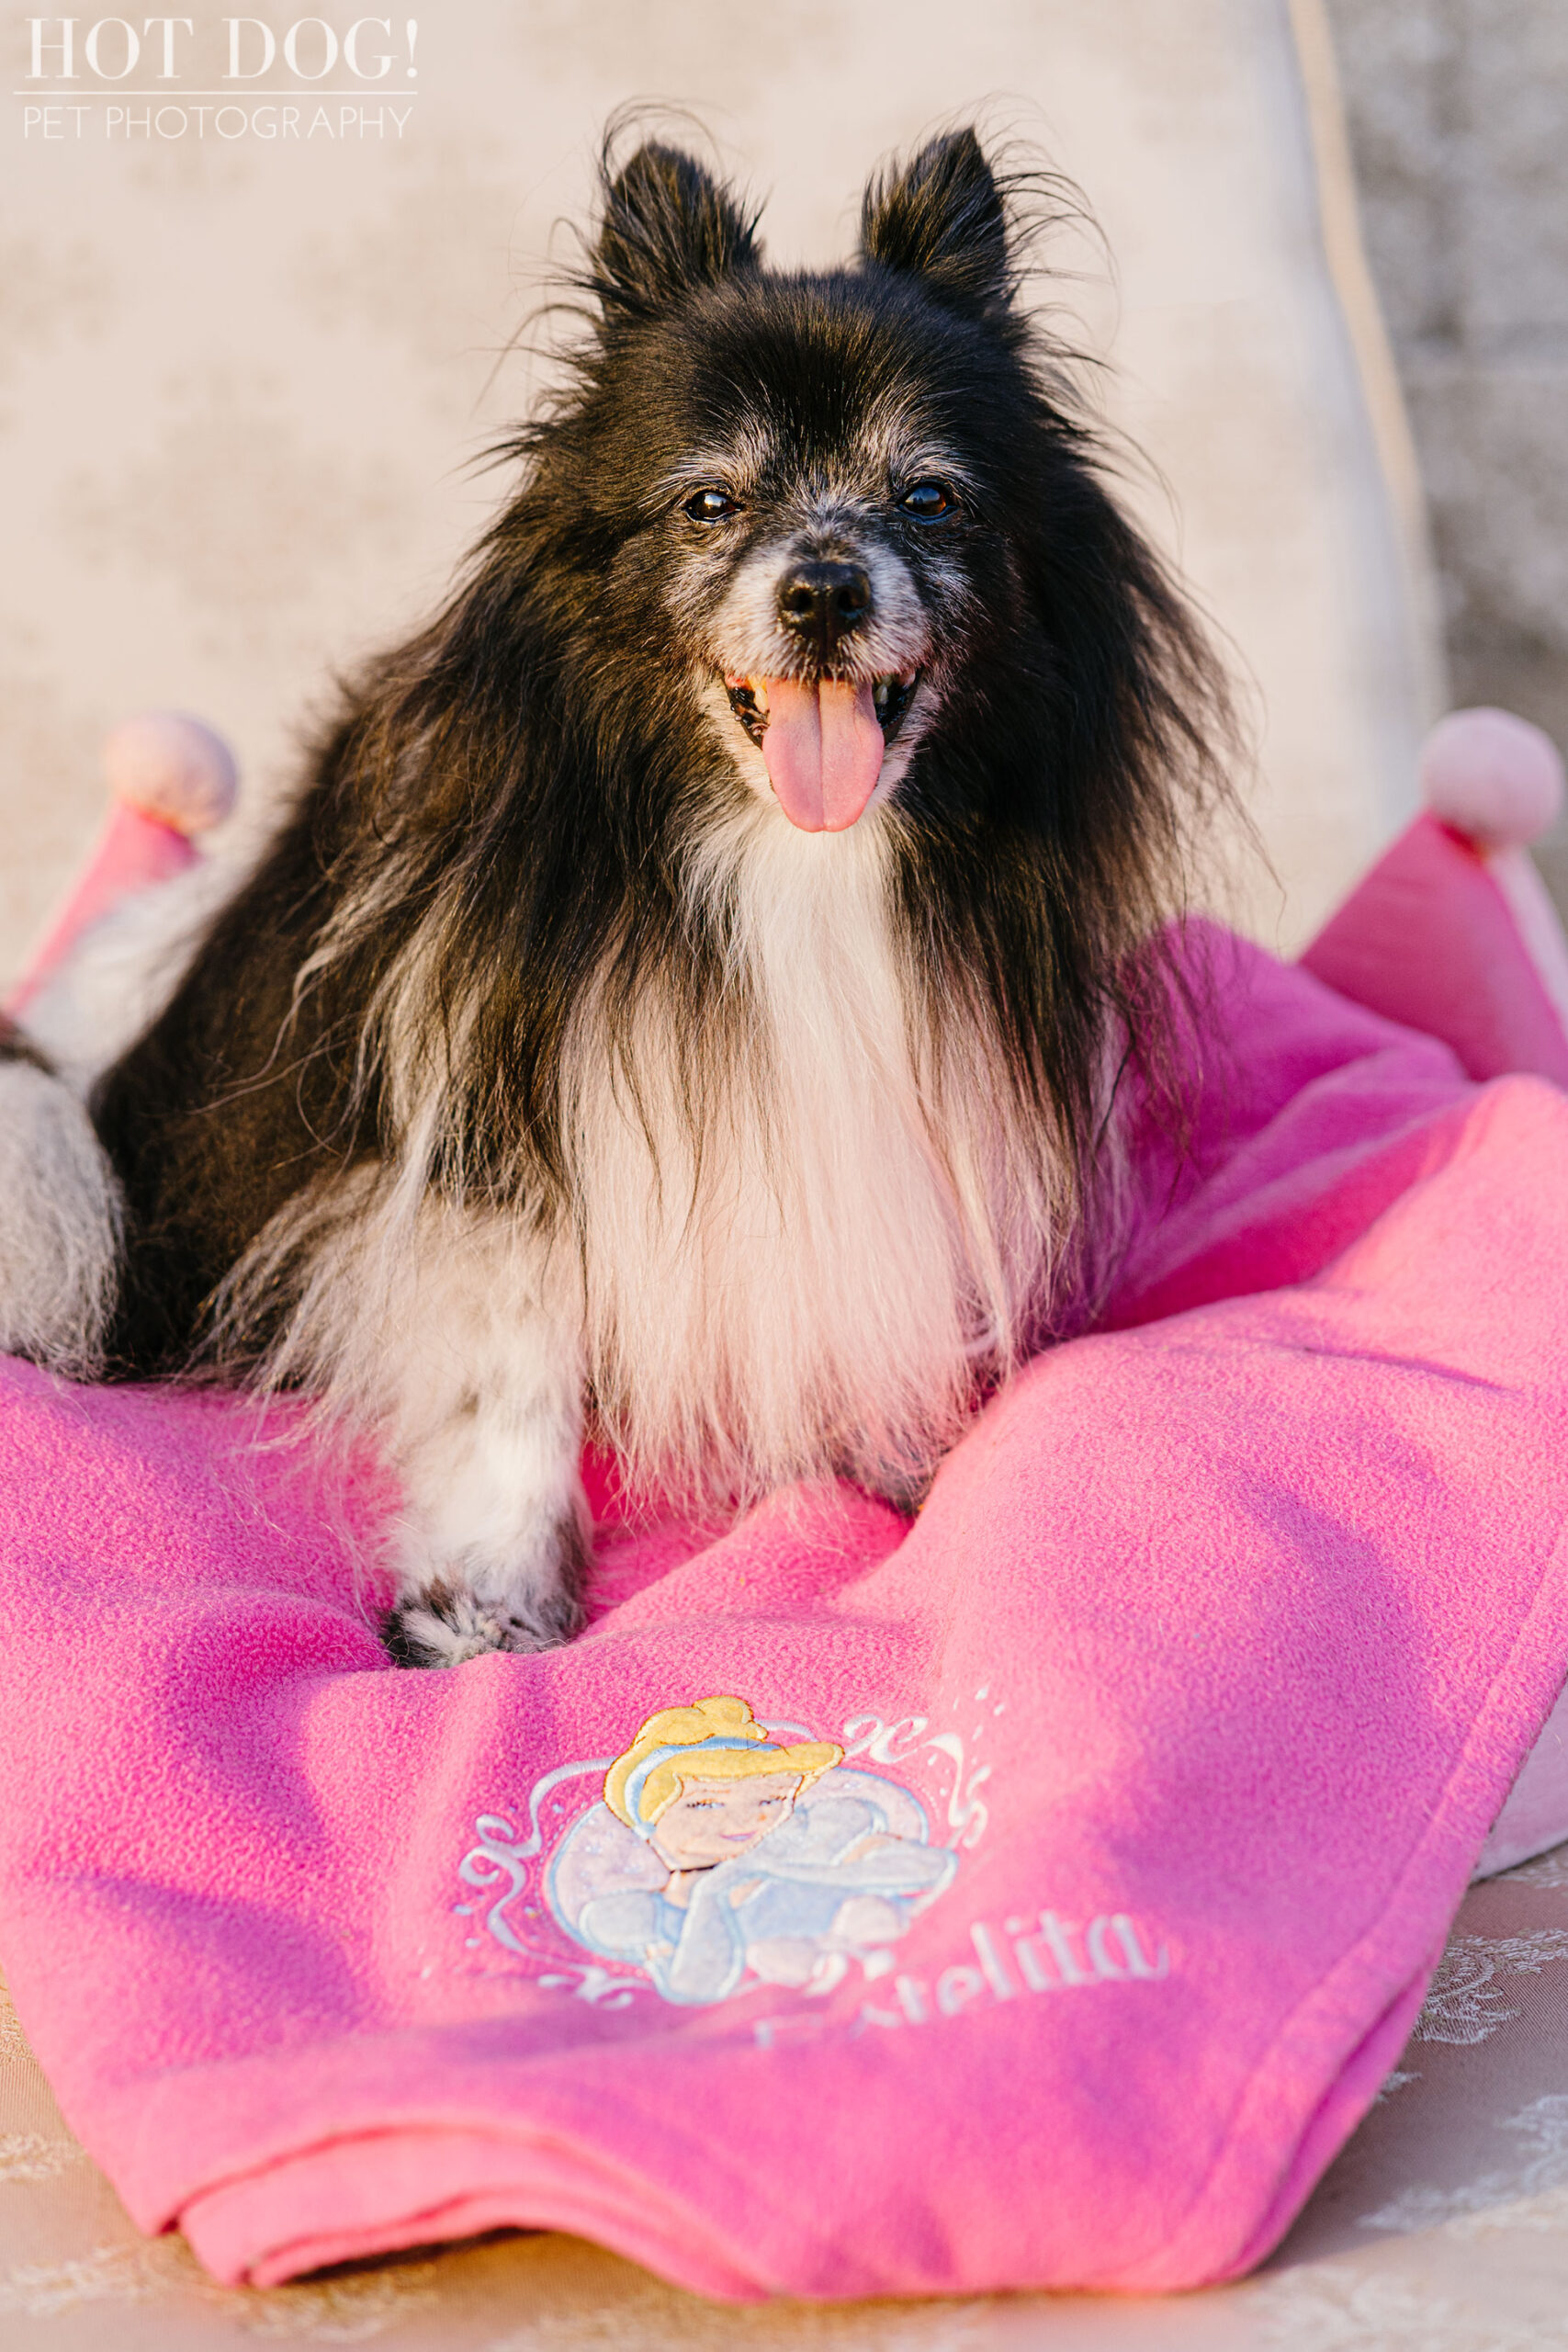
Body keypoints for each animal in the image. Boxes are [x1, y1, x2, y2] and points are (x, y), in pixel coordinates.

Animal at [3, 133, 1241, 1674]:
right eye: (708, 502)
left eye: (927, 499)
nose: (822, 587)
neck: (783, 856)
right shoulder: (488, 1125)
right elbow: (508, 1371)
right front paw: (486, 1596)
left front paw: (895, 1461)